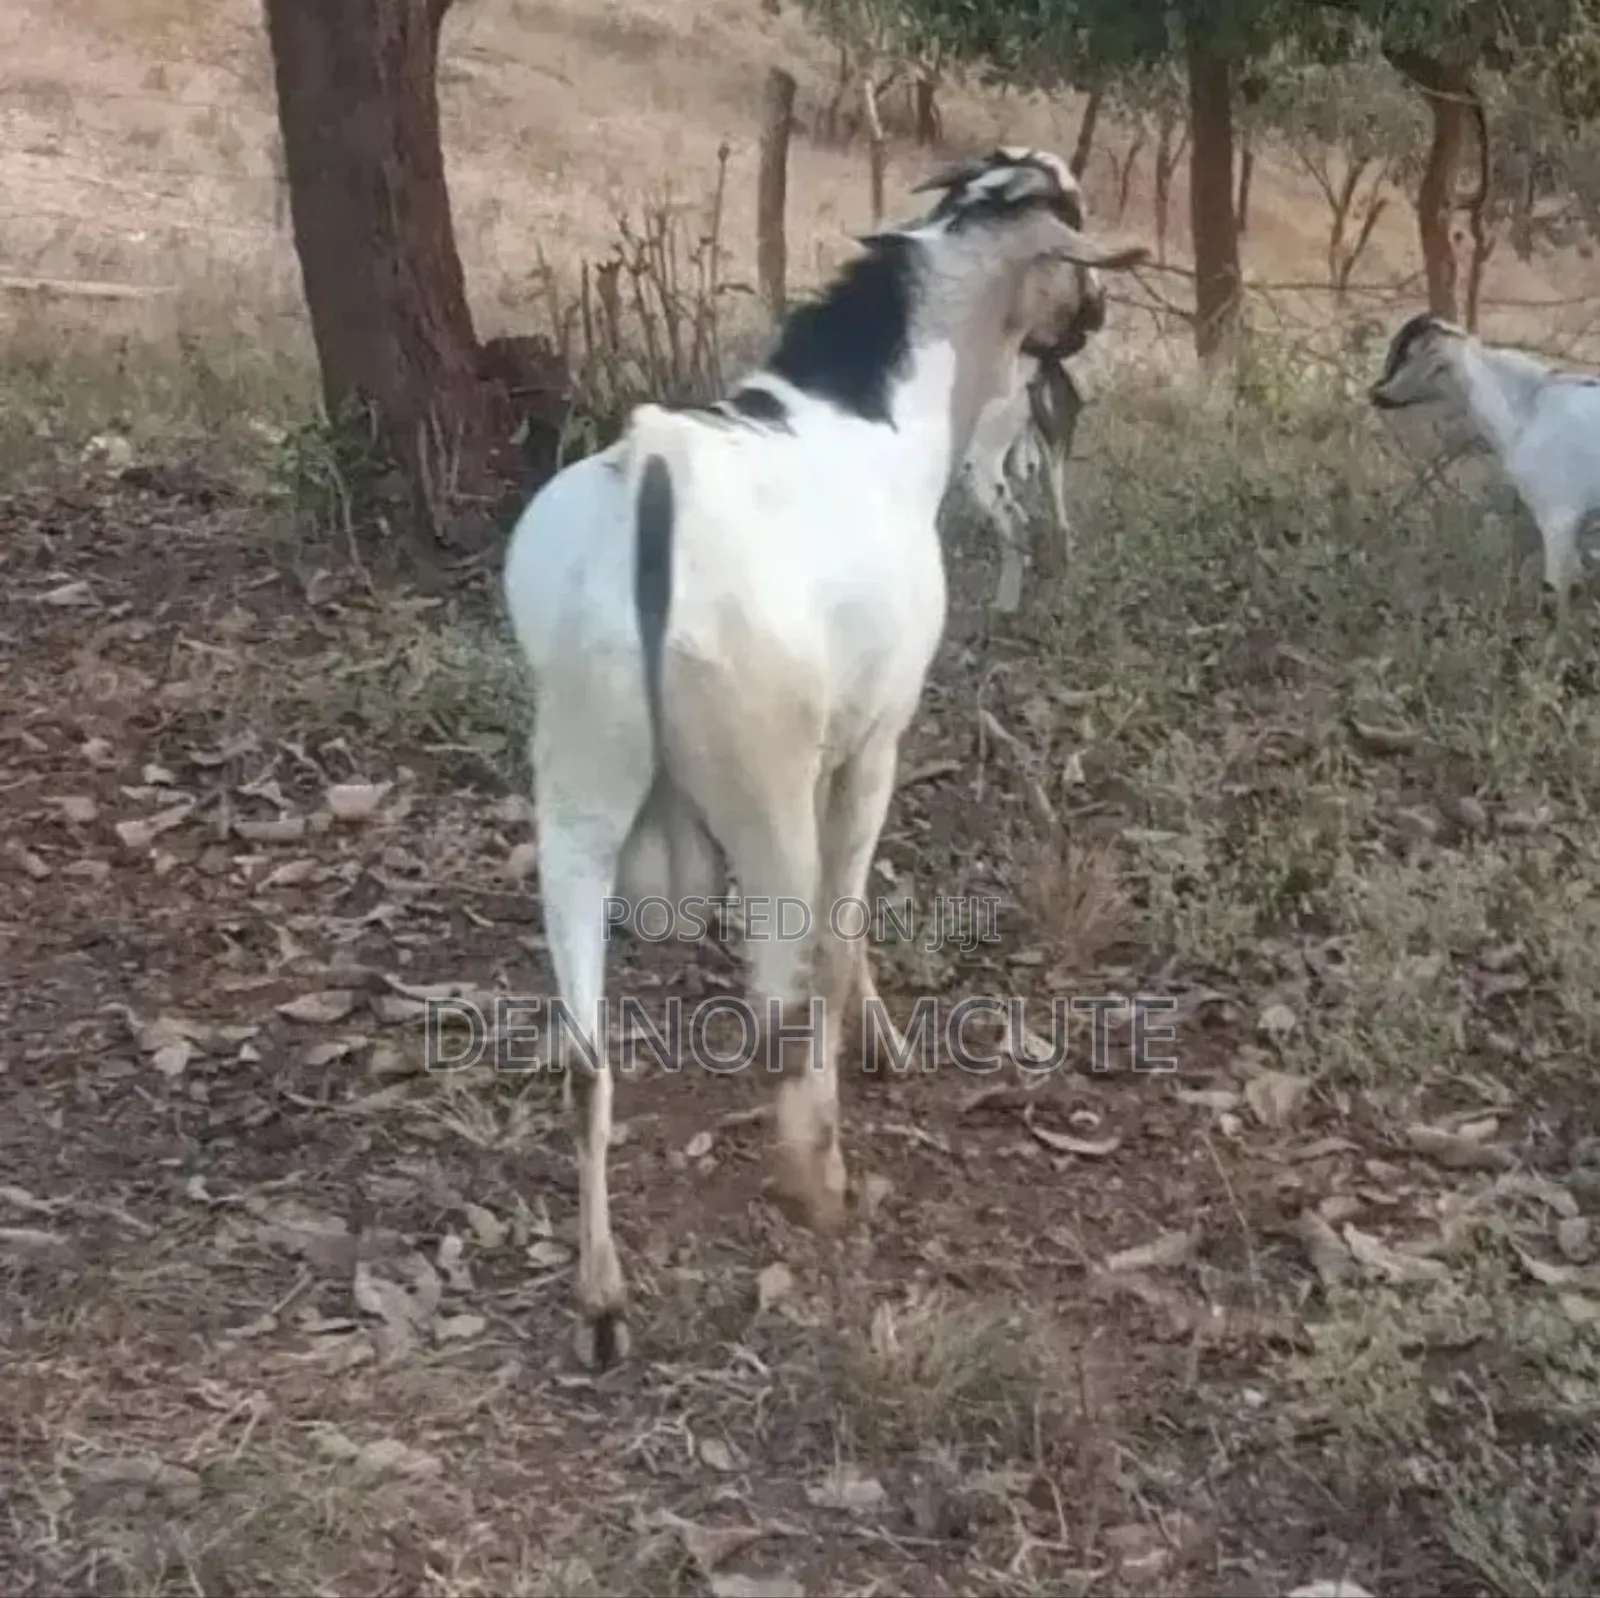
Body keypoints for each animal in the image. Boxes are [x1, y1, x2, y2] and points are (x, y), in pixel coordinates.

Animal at [501, 159, 1149, 1368]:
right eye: (1070, 225)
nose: (1087, 323)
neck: (875, 409)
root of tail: (654, 484)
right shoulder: (871, 742)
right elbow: (848, 925)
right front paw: (880, 1052)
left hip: (574, 789)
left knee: (584, 1060)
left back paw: (603, 1298)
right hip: (761, 797)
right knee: (778, 1003)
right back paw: (820, 1179)